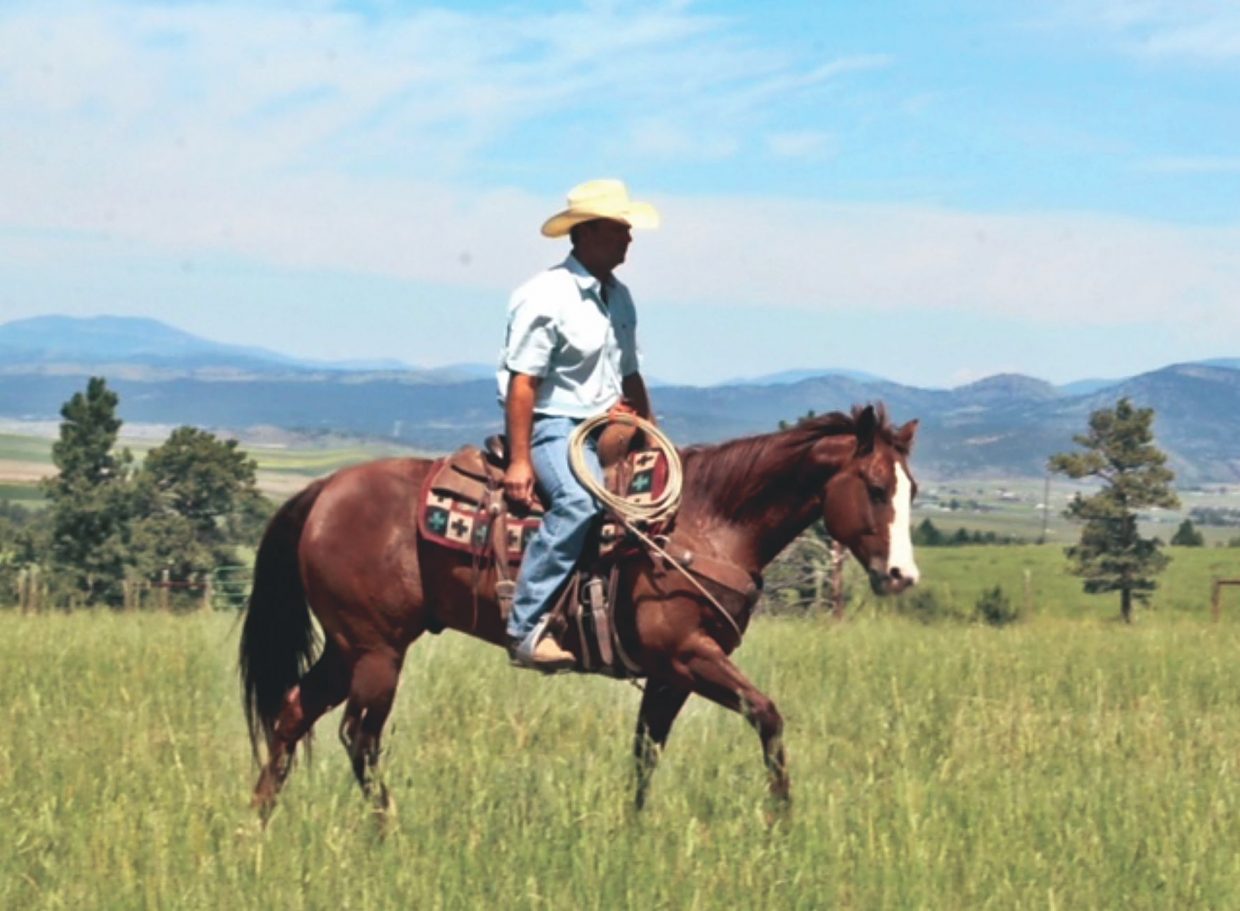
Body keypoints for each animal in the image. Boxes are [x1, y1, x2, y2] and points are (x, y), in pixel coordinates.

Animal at [239, 404, 919, 818]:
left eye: (912, 489)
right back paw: (386, 833)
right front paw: (781, 820)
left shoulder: (670, 675)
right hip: (378, 651)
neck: (707, 521)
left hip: (348, 648)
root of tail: (323, 490)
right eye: (876, 487)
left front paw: (633, 834)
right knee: (360, 737)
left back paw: (260, 823)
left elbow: (646, 753)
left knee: (292, 713)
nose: (902, 575)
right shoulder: (689, 656)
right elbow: (767, 715)